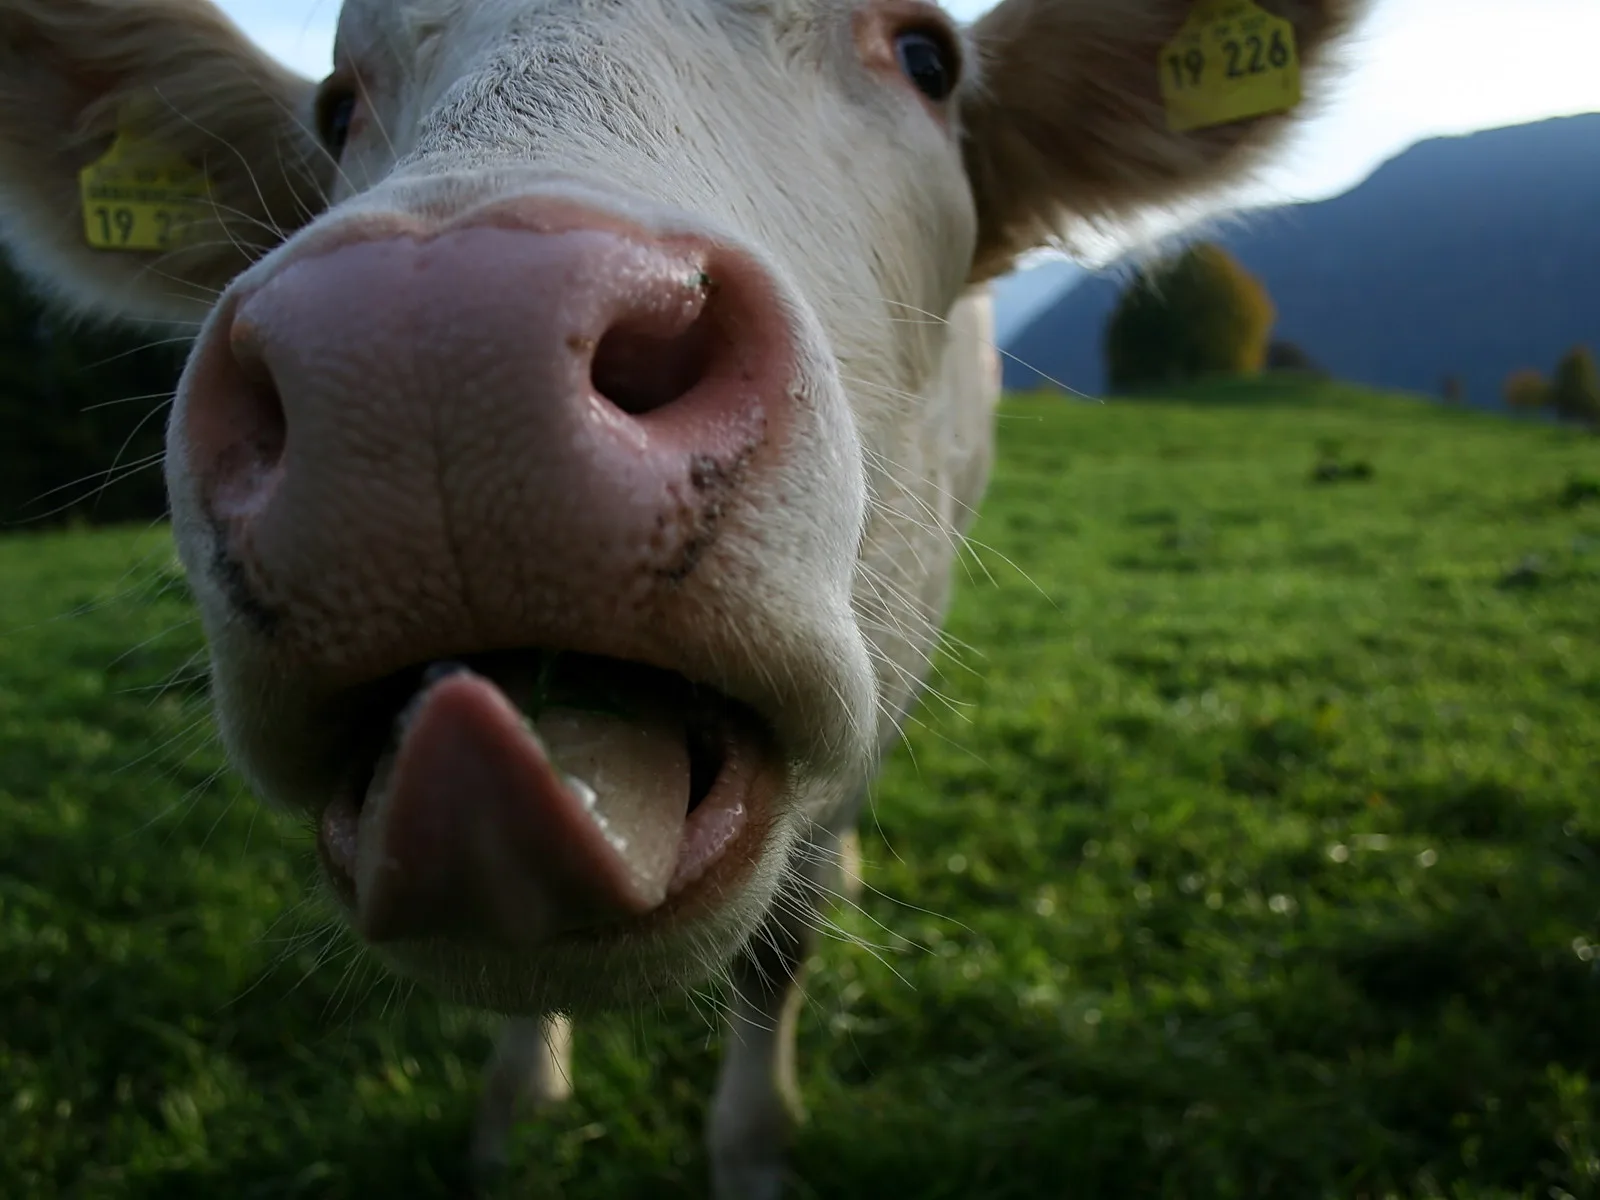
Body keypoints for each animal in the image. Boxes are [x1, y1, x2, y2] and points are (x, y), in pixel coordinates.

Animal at [0, 0, 1367, 1194]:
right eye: (336, 108)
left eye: (927, 56)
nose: (429, 343)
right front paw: (516, 1116)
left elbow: (784, 939)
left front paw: (754, 1149)